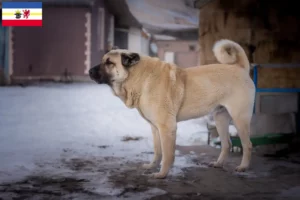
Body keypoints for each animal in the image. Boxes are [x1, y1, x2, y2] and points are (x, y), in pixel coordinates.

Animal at [88, 38, 254, 178]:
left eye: (109, 63)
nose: (89, 71)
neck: (139, 78)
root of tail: (240, 67)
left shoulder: (167, 127)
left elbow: (167, 155)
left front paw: (162, 174)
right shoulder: (155, 128)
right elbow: (157, 151)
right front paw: (151, 166)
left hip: (240, 119)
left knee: (247, 145)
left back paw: (243, 167)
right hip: (220, 119)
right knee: (227, 144)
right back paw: (219, 164)